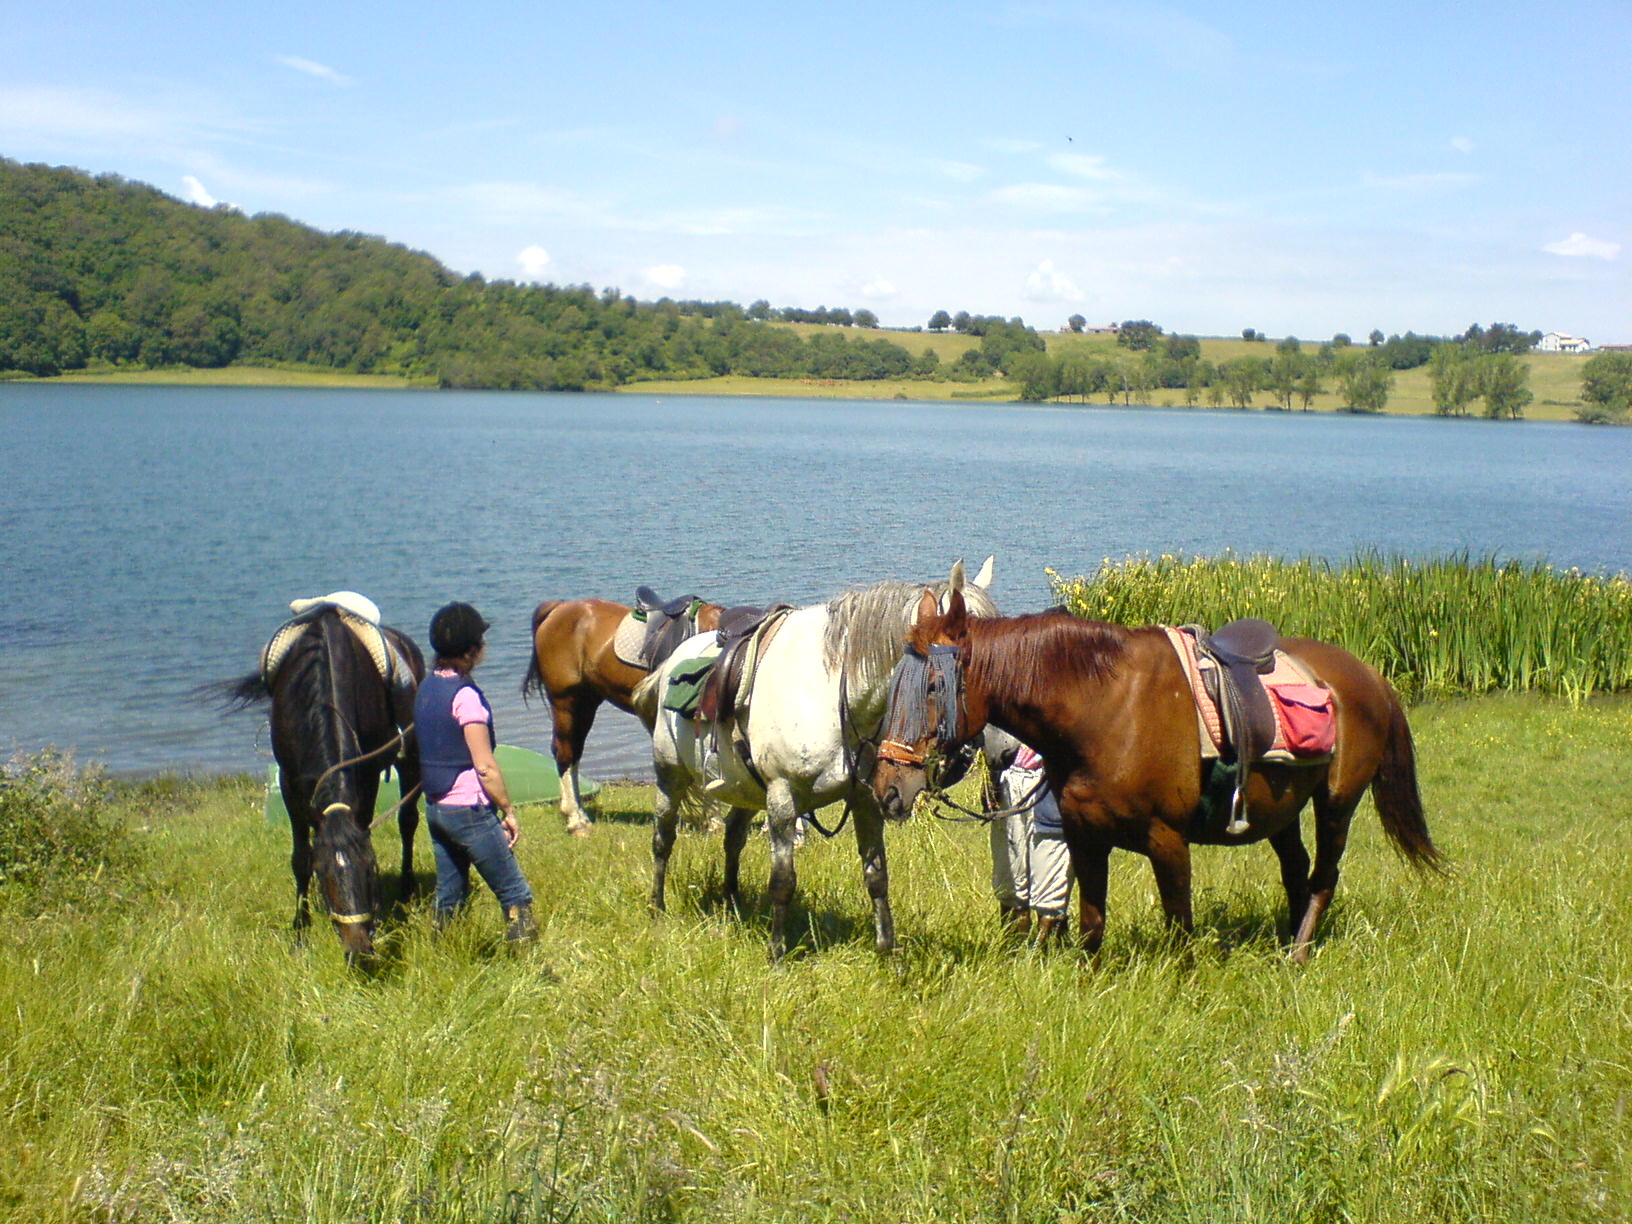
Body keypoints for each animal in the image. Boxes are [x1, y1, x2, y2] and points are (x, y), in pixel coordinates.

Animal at [225, 610, 424, 966]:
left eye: (370, 868)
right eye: (323, 873)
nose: (358, 949)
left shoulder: (367, 773)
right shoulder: (290, 782)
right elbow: (299, 856)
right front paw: (300, 932)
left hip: (410, 757)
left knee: (408, 822)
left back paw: (406, 890)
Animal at [522, 590, 727, 835]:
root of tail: (558, 608)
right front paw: (714, 821)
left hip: (586, 702)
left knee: (574, 754)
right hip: (566, 702)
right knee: (564, 753)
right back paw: (576, 820)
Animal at [633, 561, 992, 966]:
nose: (966, 756)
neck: (833, 688)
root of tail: (671, 661)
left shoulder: (865, 799)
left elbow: (876, 875)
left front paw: (887, 951)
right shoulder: (782, 797)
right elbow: (783, 880)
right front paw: (777, 952)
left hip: (744, 787)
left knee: (733, 837)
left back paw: (732, 902)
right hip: (670, 776)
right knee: (663, 839)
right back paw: (657, 907)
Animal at [868, 571, 1442, 966]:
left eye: (934, 686)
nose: (888, 787)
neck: (1104, 708)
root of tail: (1369, 675)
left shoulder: (1168, 840)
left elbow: (1179, 928)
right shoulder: (1085, 838)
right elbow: (1091, 924)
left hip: (1337, 802)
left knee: (1324, 875)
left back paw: (1298, 953)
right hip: (1282, 809)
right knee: (1296, 870)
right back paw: (1285, 942)